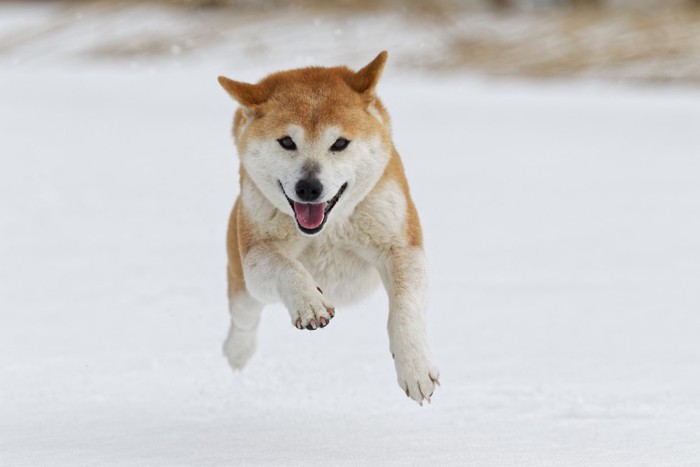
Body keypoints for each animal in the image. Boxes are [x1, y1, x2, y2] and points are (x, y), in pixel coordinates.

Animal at [216, 51, 440, 406]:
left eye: (339, 143)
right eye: (286, 141)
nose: (309, 187)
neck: (327, 230)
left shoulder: (402, 246)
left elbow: (405, 307)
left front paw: (415, 367)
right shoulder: (256, 253)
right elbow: (285, 267)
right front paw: (309, 301)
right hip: (242, 284)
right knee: (244, 319)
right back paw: (238, 352)